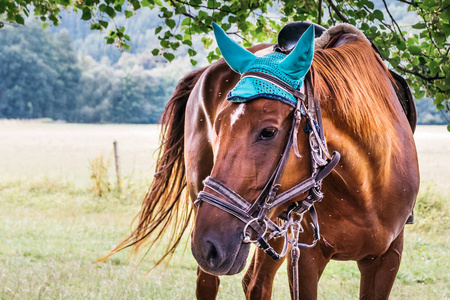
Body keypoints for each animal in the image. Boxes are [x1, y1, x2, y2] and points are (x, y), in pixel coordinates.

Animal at [104, 24, 418, 298]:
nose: (208, 245)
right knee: (210, 283)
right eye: (218, 126)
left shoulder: (387, 259)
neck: (366, 182)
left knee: (255, 282)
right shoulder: (305, 258)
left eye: (269, 131)